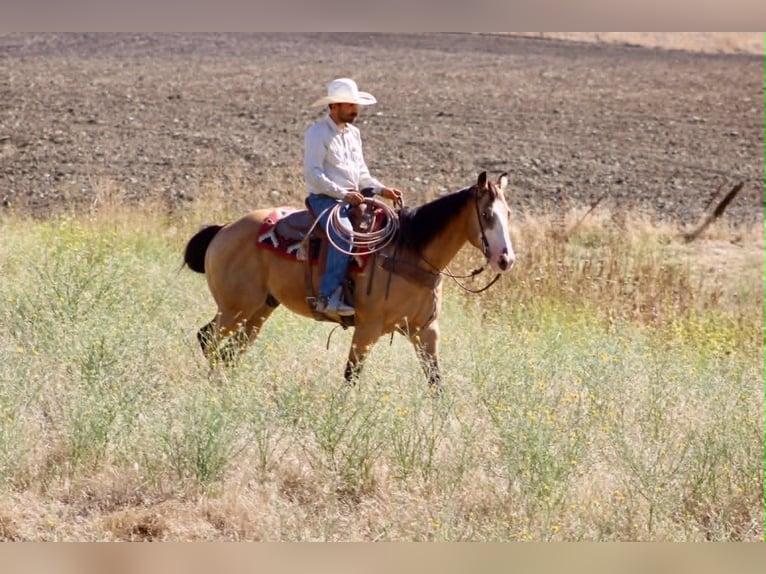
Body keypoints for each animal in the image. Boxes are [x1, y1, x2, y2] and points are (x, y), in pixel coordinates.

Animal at [183, 171, 515, 390]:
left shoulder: (426, 330)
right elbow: (350, 378)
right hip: (235, 308)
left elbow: (436, 381)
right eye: (487, 214)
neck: (411, 251)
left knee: (231, 350)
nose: (506, 259)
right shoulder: (367, 329)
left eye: (509, 213)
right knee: (208, 339)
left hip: (260, 309)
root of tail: (225, 229)